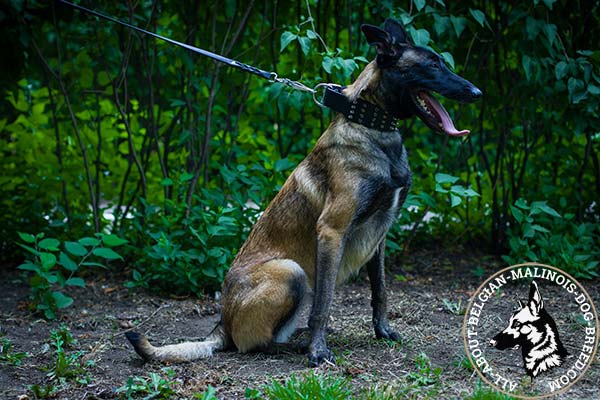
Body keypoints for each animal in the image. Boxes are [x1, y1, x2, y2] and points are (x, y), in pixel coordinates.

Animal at [125, 18, 482, 366]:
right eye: (432, 65)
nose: (477, 92)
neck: (372, 128)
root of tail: (222, 323)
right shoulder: (332, 231)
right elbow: (324, 303)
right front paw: (318, 351)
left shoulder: (379, 235)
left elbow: (379, 291)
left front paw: (383, 331)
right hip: (291, 272)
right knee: (252, 344)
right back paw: (296, 346)